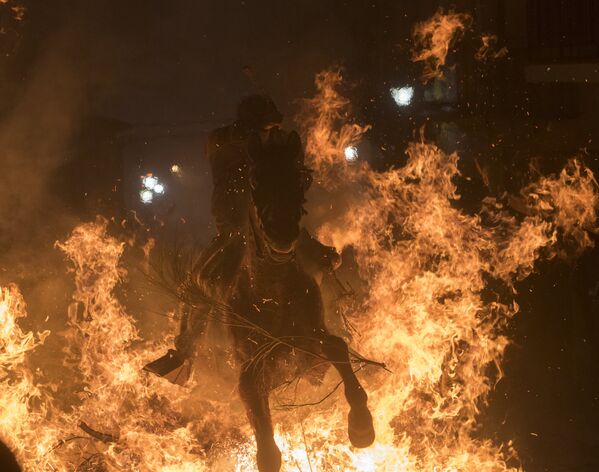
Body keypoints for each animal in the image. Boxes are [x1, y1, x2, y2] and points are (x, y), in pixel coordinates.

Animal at [176, 130, 376, 472]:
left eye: (302, 178)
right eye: (254, 179)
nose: (281, 231)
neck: (271, 293)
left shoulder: (310, 336)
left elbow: (336, 346)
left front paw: (362, 424)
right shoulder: (250, 363)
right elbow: (253, 401)